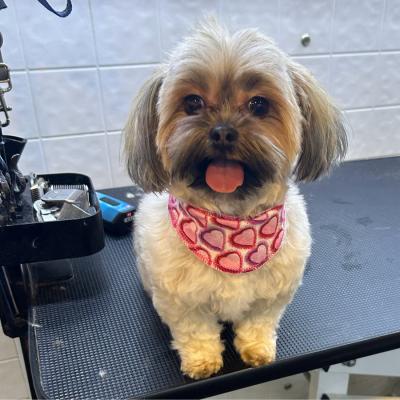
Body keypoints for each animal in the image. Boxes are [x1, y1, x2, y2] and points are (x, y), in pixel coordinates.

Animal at [124, 20, 347, 380]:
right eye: (193, 103)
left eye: (258, 105)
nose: (223, 131)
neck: (232, 226)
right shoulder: (183, 302)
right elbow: (196, 331)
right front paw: (202, 360)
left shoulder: (272, 295)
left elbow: (258, 322)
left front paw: (257, 349)